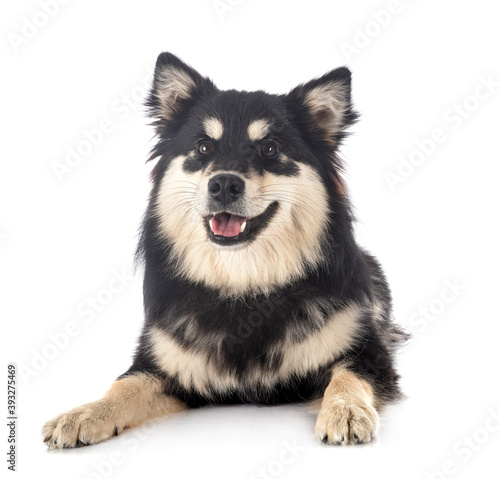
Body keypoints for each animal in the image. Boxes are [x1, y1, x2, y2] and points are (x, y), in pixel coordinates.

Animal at [42, 52, 406, 450]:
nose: (224, 185)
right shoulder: (162, 366)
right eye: (204, 147)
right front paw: (85, 413)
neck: (243, 282)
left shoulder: (368, 353)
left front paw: (346, 410)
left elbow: (348, 376)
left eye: (270, 148)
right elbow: (124, 385)